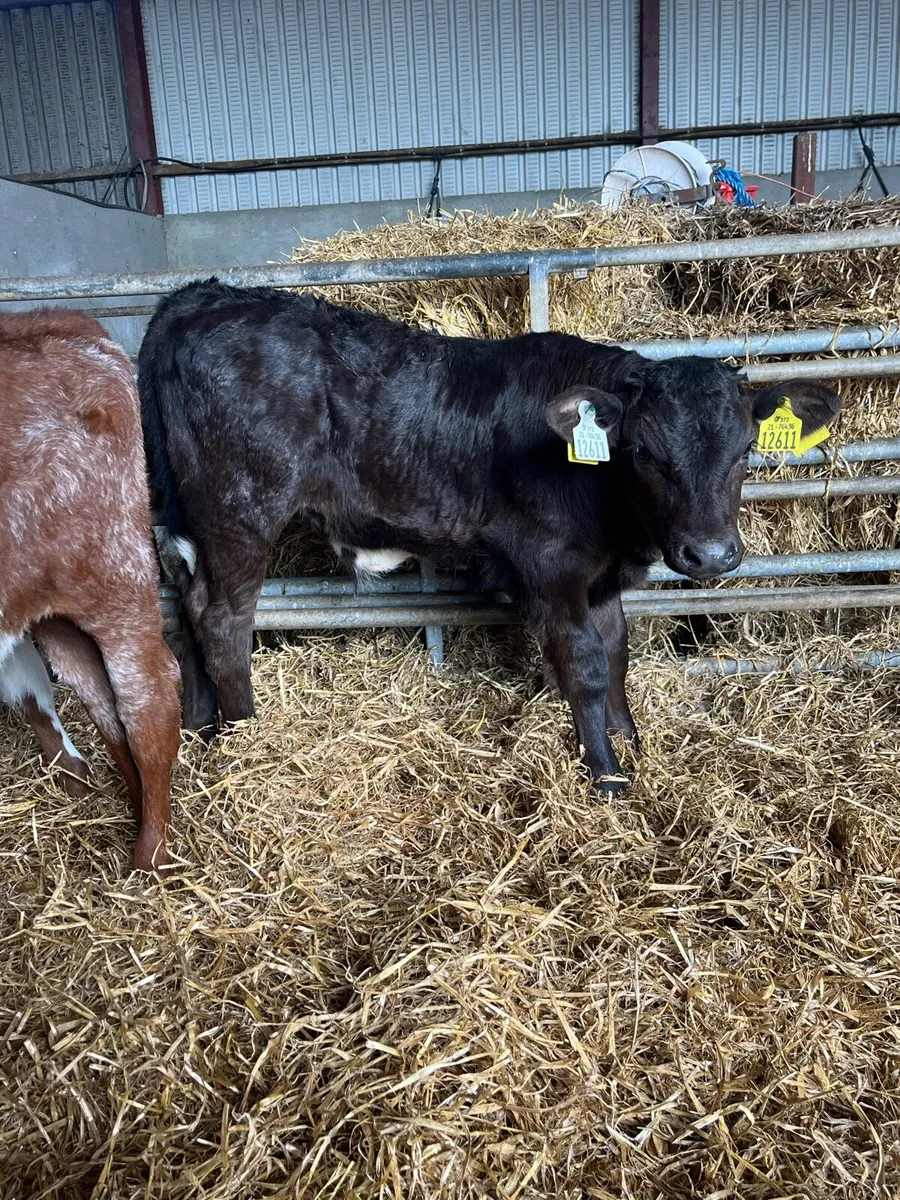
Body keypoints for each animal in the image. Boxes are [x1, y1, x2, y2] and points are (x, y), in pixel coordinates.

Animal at [139, 279, 841, 792]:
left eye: (747, 449)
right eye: (642, 451)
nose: (711, 554)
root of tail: (199, 296)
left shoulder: (599, 577)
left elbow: (617, 651)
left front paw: (630, 742)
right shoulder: (548, 567)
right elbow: (585, 664)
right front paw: (607, 775)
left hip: (186, 514)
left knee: (187, 605)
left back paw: (200, 729)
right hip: (241, 507)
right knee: (224, 618)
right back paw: (245, 734)